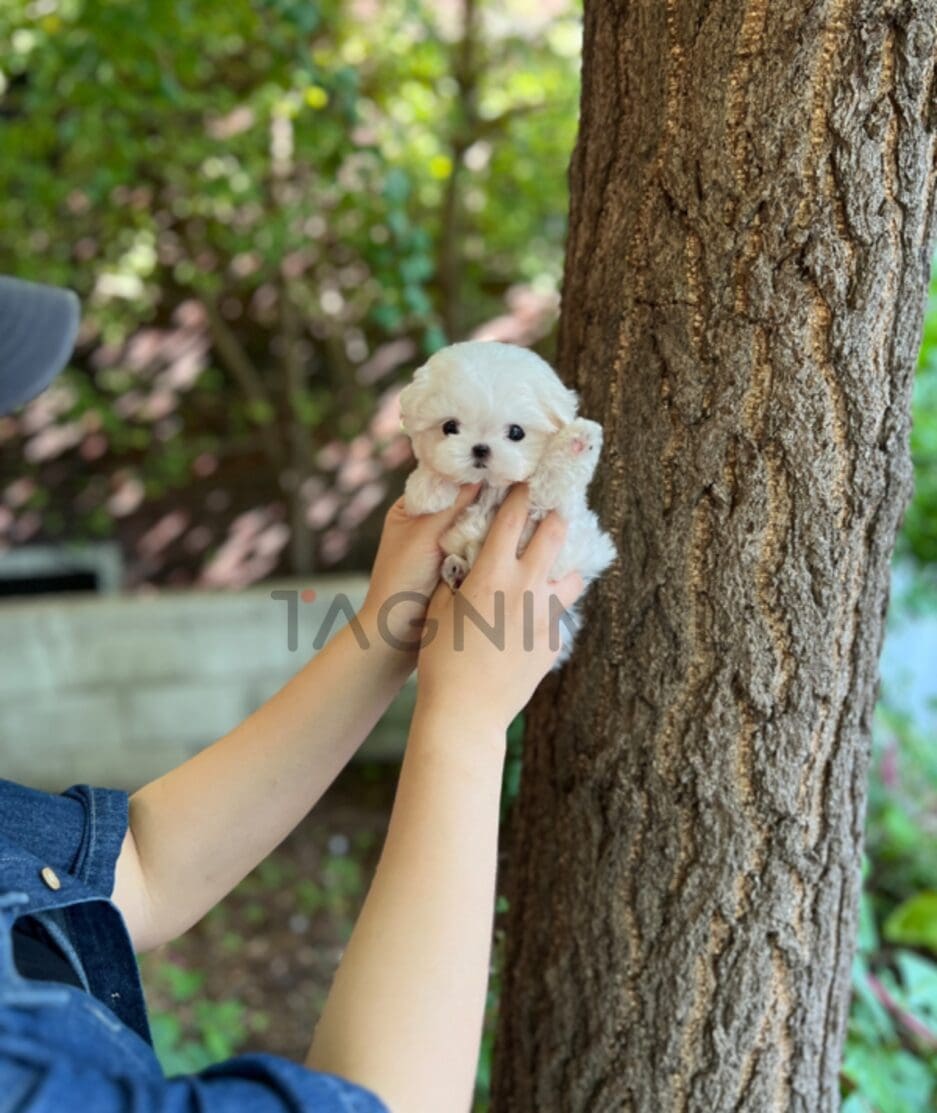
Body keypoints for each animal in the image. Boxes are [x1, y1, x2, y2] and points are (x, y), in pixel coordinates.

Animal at [398, 338, 618, 663]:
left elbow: (551, 480)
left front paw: (576, 442)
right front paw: (429, 485)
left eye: (517, 432)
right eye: (449, 427)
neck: (492, 488)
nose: (480, 449)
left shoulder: (552, 514)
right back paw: (456, 570)